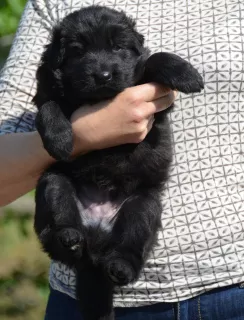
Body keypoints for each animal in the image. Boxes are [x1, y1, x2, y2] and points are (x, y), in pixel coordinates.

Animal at [33, 5, 203, 320]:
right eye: (78, 52)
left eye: (117, 47)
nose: (102, 75)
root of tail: (95, 243)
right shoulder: (46, 89)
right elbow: (47, 107)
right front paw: (59, 138)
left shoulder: (154, 105)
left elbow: (153, 59)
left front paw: (186, 74)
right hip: (56, 184)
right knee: (57, 220)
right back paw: (69, 237)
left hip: (143, 205)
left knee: (130, 247)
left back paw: (120, 266)